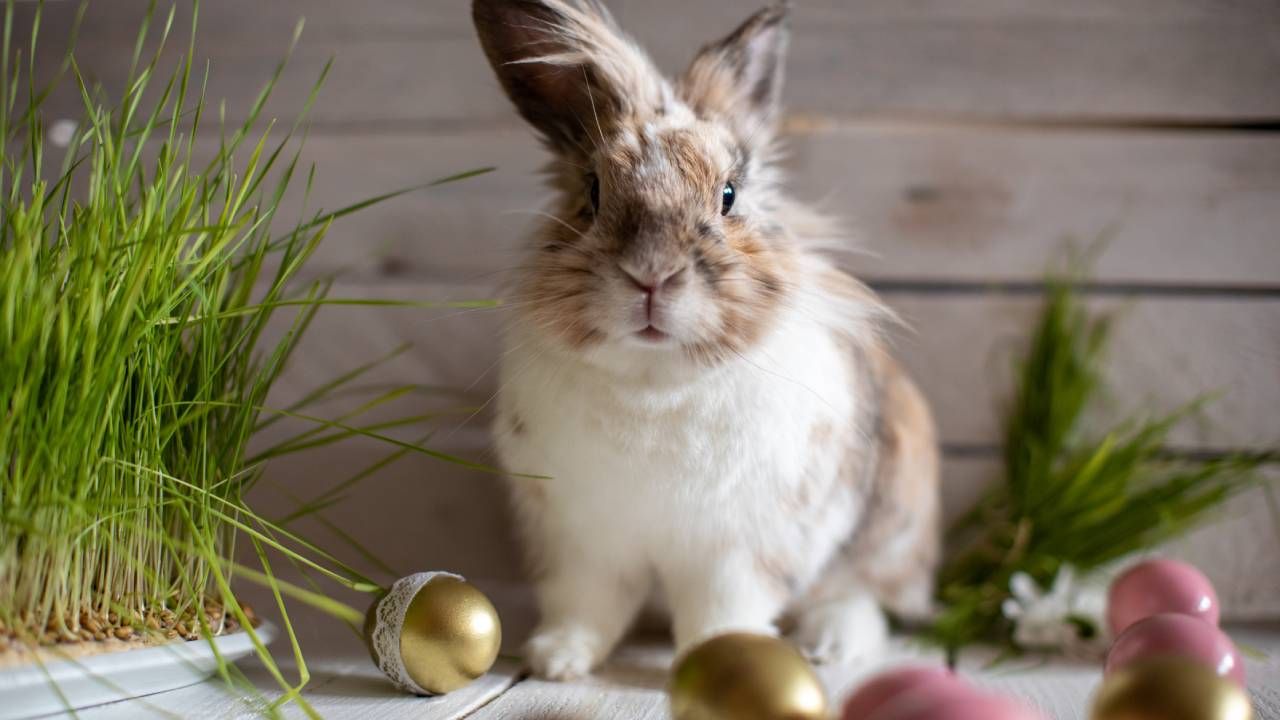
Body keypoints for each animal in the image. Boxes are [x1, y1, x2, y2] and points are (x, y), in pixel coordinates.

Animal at [472, 0, 940, 679]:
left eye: (728, 196)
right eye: (593, 192)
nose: (652, 275)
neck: (654, 380)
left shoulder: (740, 550)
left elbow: (723, 609)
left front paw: (728, 661)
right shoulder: (581, 542)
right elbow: (586, 604)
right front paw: (557, 659)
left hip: (890, 526)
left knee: (862, 594)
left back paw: (831, 644)